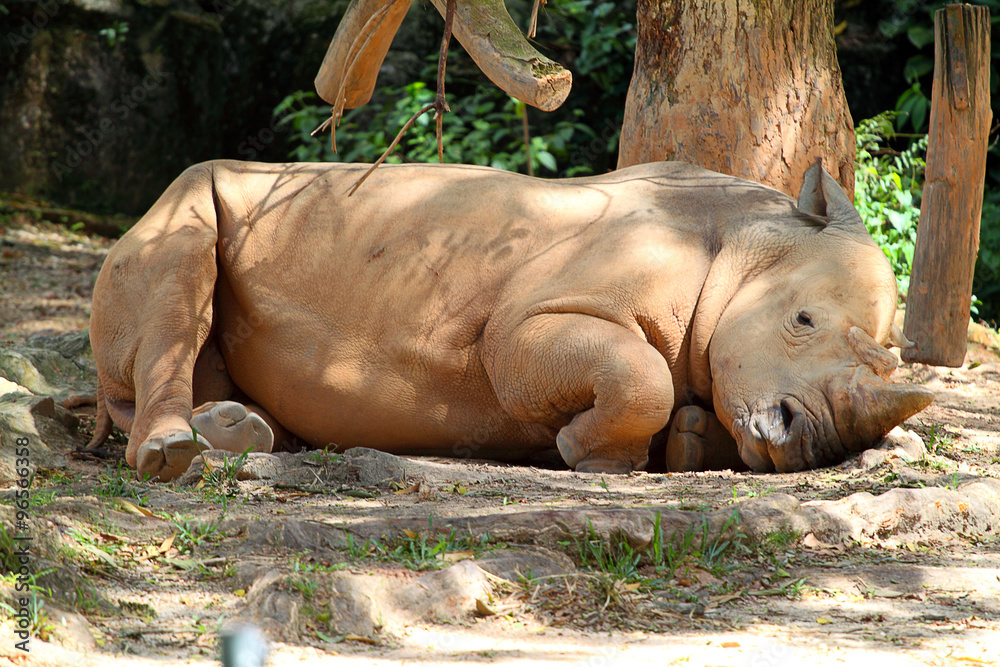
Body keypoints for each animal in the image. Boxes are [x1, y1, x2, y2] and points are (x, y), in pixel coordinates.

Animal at [87, 159, 934, 481]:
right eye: (802, 319)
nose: (812, 441)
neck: (752, 238)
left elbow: (683, 392)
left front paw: (691, 443)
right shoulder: (524, 324)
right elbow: (640, 373)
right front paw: (589, 456)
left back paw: (240, 433)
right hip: (184, 201)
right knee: (179, 272)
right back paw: (170, 455)